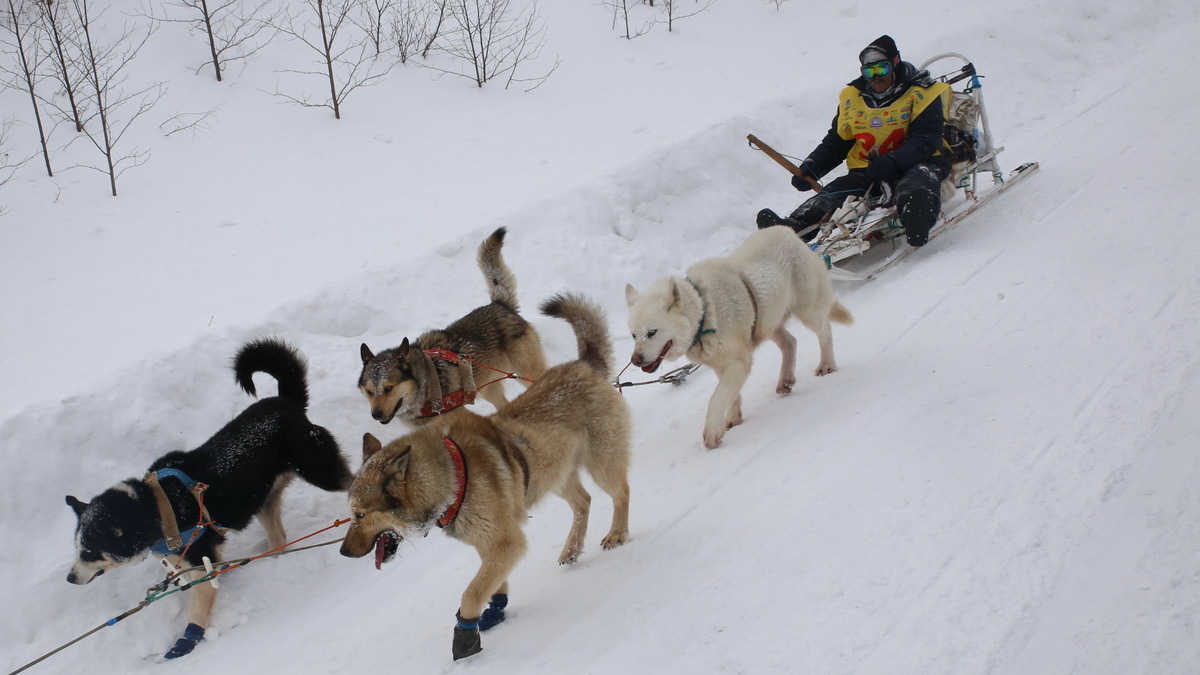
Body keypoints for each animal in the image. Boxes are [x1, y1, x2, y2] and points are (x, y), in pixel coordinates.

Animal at [64, 336, 350, 658]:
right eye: (77, 548)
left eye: (88, 551)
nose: (70, 578)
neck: (154, 508)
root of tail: (285, 402)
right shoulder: (190, 561)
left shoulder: (201, 562)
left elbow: (198, 606)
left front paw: (187, 640)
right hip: (262, 501)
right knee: (279, 538)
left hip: (321, 472)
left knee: (355, 481)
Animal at [343, 290, 633, 658]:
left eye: (359, 515)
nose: (343, 552)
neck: (452, 478)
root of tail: (584, 364)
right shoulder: (489, 544)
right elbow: (491, 586)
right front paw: (495, 609)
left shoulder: (506, 541)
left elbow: (471, 592)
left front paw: (465, 632)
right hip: (553, 473)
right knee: (583, 502)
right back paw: (571, 549)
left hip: (600, 461)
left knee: (620, 492)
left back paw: (618, 532)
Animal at [355, 225, 544, 425]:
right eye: (369, 392)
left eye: (388, 388)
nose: (376, 415)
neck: (425, 387)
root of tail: (499, 305)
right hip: (488, 388)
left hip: (527, 372)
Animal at [628, 224, 854, 446]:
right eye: (633, 335)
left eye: (652, 332)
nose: (635, 360)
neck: (705, 312)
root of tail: (787, 231)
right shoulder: (722, 364)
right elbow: (731, 395)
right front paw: (732, 418)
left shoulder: (738, 362)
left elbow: (716, 398)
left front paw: (712, 431)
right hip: (767, 323)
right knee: (790, 342)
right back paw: (785, 379)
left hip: (807, 311)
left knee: (824, 331)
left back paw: (826, 364)